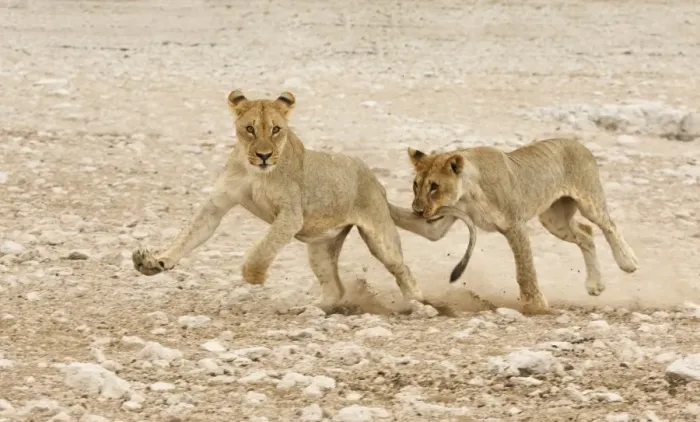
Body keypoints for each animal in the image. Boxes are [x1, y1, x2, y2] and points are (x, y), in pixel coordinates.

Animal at [131, 89, 475, 314]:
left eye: (277, 130)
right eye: (250, 129)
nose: (264, 155)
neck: (255, 170)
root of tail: (377, 184)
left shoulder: (290, 214)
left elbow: (264, 247)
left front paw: (253, 276)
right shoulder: (217, 204)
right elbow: (189, 235)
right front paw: (154, 262)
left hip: (380, 237)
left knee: (403, 271)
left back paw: (419, 305)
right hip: (321, 248)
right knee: (335, 289)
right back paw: (308, 308)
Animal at [401, 135, 639, 315]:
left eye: (434, 186)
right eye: (416, 185)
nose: (417, 210)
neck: (468, 192)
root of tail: (578, 143)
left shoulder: (515, 224)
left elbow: (525, 270)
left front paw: (536, 306)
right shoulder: (445, 218)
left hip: (589, 201)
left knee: (608, 225)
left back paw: (628, 261)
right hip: (553, 220)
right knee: (586, 234)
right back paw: (595, 285)